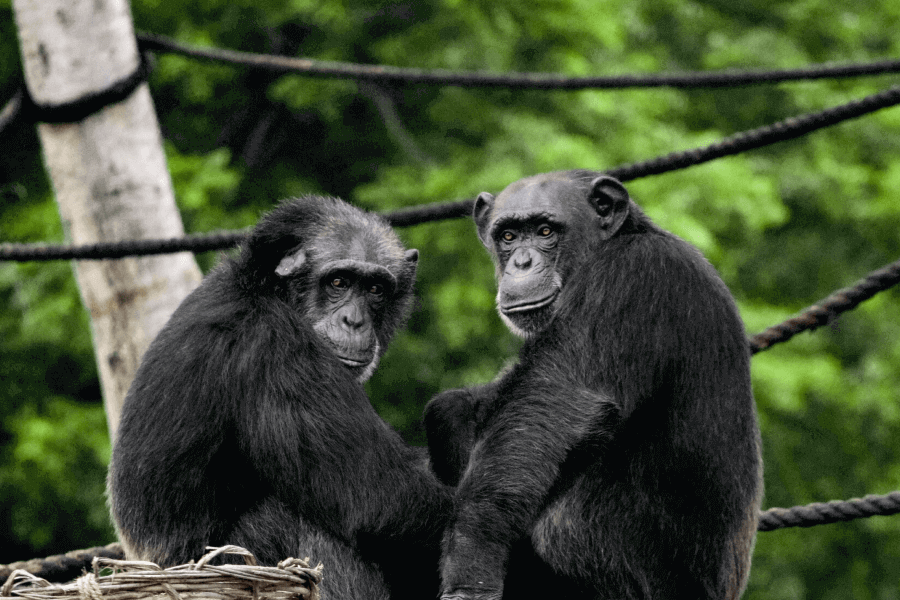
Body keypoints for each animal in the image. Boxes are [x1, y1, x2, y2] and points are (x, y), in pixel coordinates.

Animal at [108, 195, 452, 600]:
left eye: (375, 289)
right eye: (339, 281)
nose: (354, 320)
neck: (267, 291)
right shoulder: (277, 351)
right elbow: (382, 497)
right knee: (304, 518)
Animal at [424, 171, 763, 600]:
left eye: (545, 231)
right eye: (508, 236)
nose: (522, 262)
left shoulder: (630, 277)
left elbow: (554, 403)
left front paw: (472, 565)